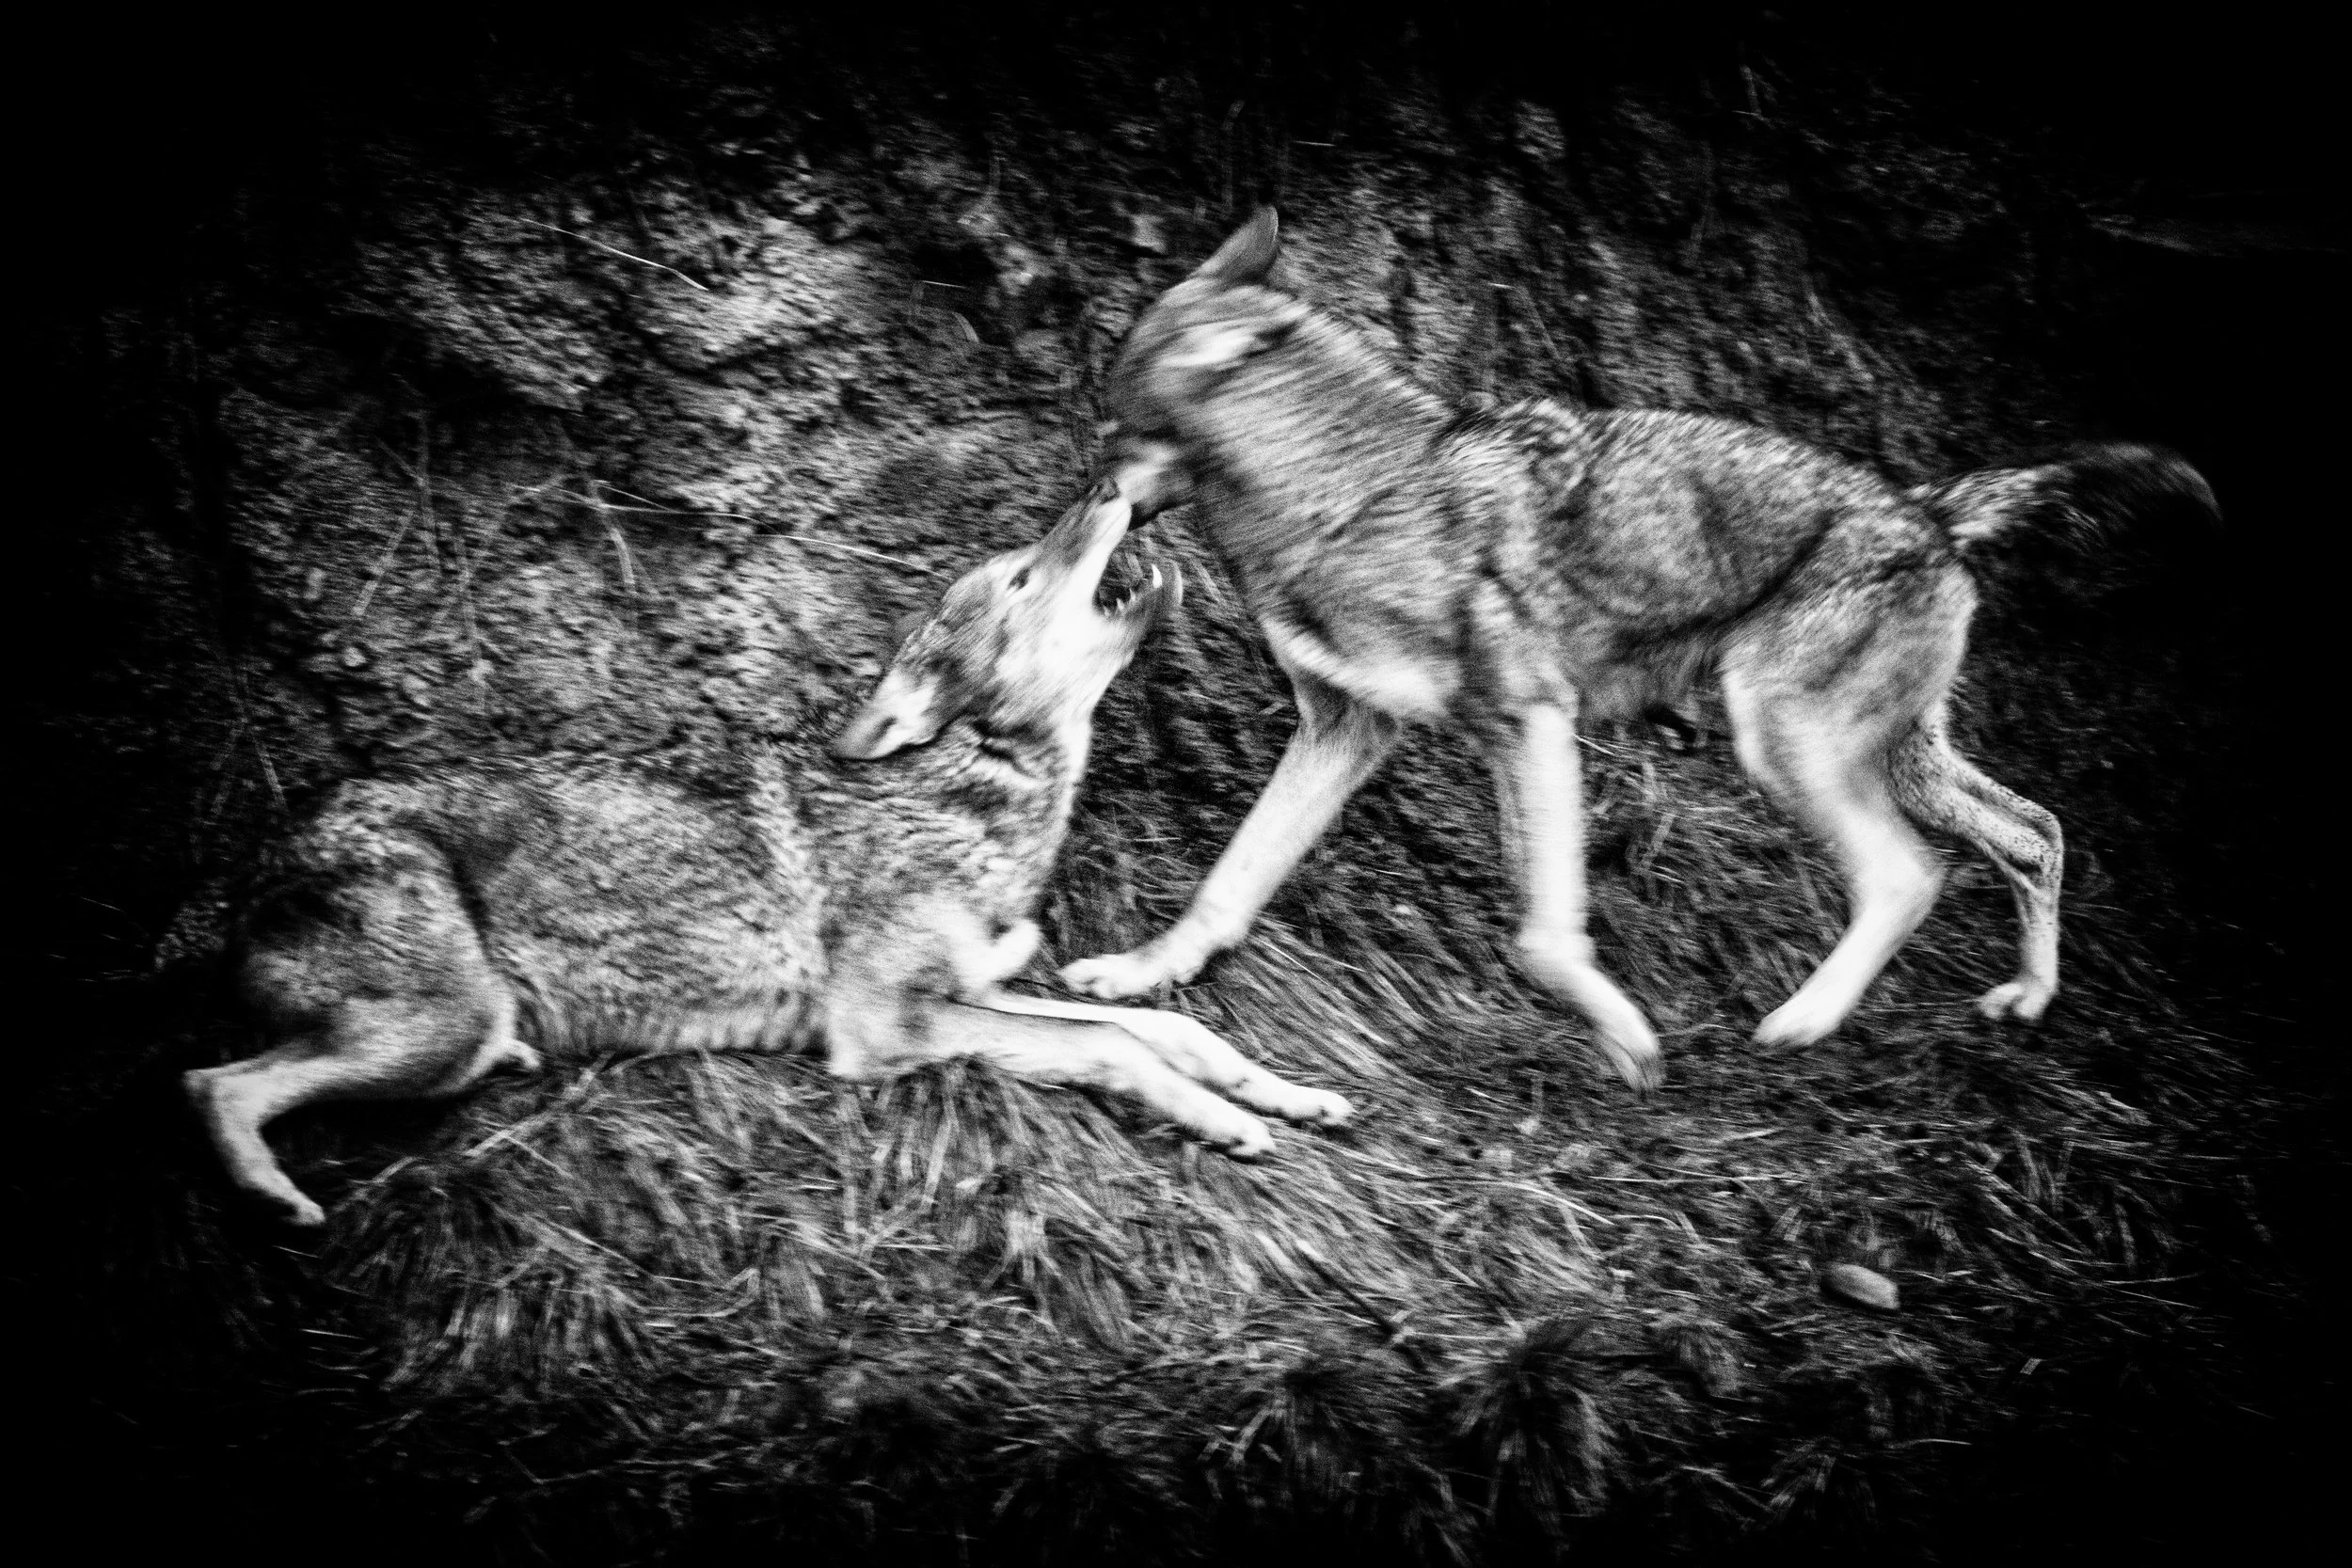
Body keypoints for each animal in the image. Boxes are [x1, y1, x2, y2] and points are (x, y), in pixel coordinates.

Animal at [182, 480, 1350, 1227]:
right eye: (1022, 575)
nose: (1112, 483)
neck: (983, 802)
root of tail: (259, 861)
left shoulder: (975, 991)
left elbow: (1158, 1024)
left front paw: (1281, 1094)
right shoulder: (887, 1026)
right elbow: (1117, 1046)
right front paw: (1223, 1122)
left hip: (450, 1032)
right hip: (442, 1023)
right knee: (212, 1081)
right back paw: (274, 1196)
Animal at [1059, 209, 2218, 1089]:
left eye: (1111, 425)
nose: (1085, 503)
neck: (1353, 497)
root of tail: (1929, 510)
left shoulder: (1531, 724)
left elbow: (1542, 934)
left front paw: (1628, 1042)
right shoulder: (1352, 730)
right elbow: (1229, 880)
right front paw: (1141, 972)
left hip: (1784, 747)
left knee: (1912, 872)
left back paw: (1800, 1024)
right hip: (1895, 757)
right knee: (2035, 832)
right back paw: (2026, 996)